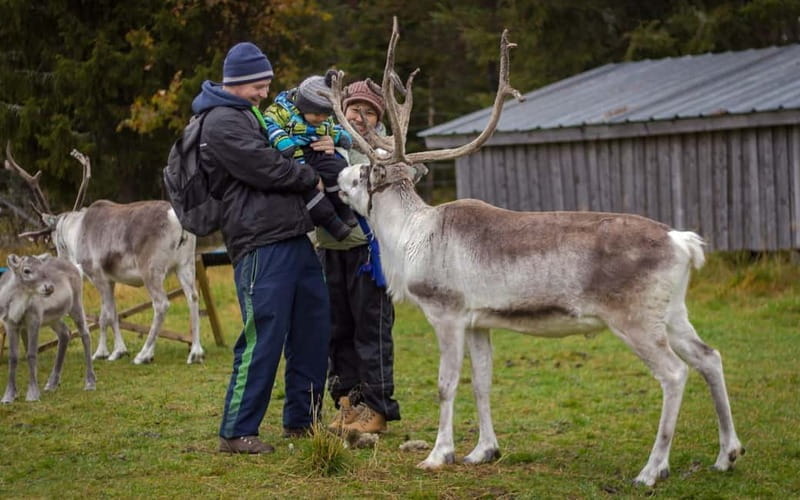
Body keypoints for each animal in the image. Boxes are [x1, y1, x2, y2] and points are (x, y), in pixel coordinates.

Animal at [1, 253, 96, 403]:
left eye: (43, 268)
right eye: (26, 270)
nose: (50, 287)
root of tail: (75, 266)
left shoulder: (34, 319)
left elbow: (31, 354)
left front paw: (33, 393)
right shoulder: (10, 323)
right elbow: (13, 357)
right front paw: (9, 395)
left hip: (76, 304)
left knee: (85, 334)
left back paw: (90, 382)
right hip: (53, 318)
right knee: (65, 333)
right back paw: (52, 383)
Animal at [4, 146, 204, 365]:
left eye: (54, 238)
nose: (61, 262)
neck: (76, 231)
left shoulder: (96, 274)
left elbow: (106, 314)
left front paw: (109, 351)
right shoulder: (110, 279)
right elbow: (111, 313)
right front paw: (112, 350)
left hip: (151, 269)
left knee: (161, 304)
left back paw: (144, 354)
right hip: (185, 264)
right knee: (193, 297)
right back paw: (196, 352)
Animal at [323, 18, 744, 487]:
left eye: (366, 171)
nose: (337, 176)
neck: (411, 236)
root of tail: (682, 241)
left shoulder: (446, 312)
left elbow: (446, 385)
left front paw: (437, 455)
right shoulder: (479, 322)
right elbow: (482, 383)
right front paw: (482, 451)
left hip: (635, 319)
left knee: (674, 373)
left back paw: (652, 470)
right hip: (672, 312)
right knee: (710, 357)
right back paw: (726, 454)